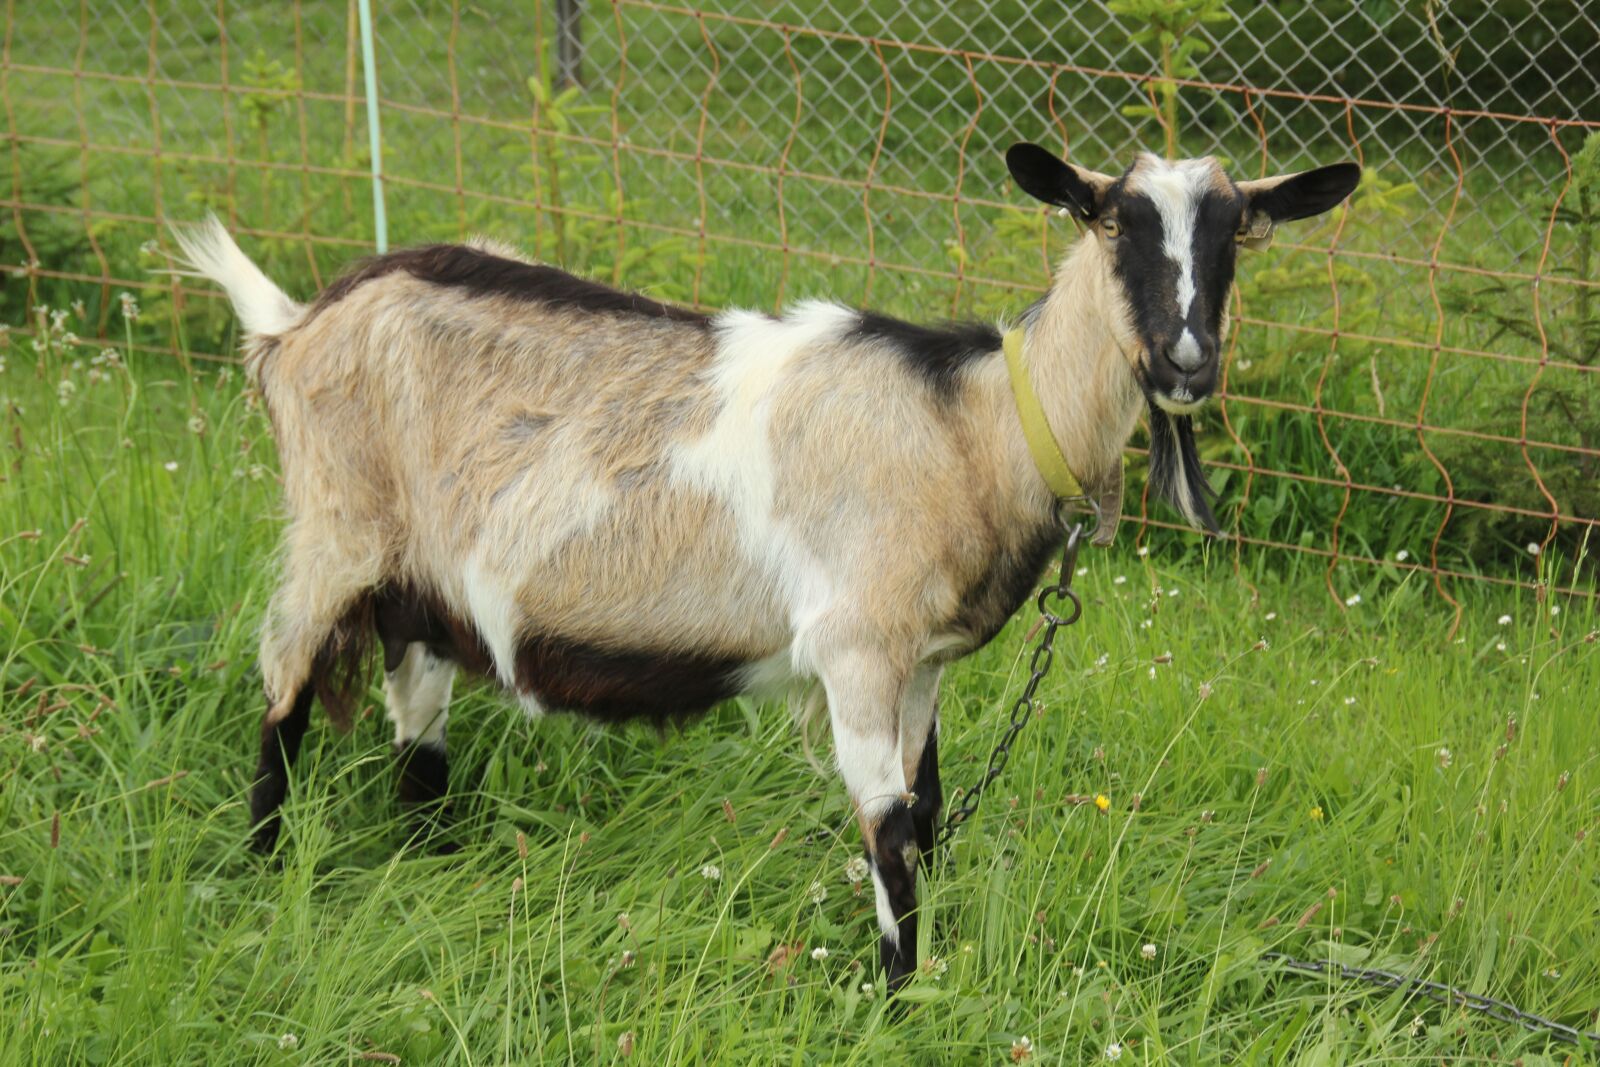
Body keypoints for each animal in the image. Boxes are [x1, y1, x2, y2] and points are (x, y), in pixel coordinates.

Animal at [173, 143, 1358, 992]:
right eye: (1111, 218)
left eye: (1241, 231)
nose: (1187, 361)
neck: (968, 422)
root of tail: (298, 321)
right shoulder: (854, 642)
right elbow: (886, 823)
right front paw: (895, 995)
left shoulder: (923, 657)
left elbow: (926, 807)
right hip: (334, 527)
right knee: (282, 686)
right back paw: (266, 863)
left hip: (422, 578)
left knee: (415, 711)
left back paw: (428, 859)